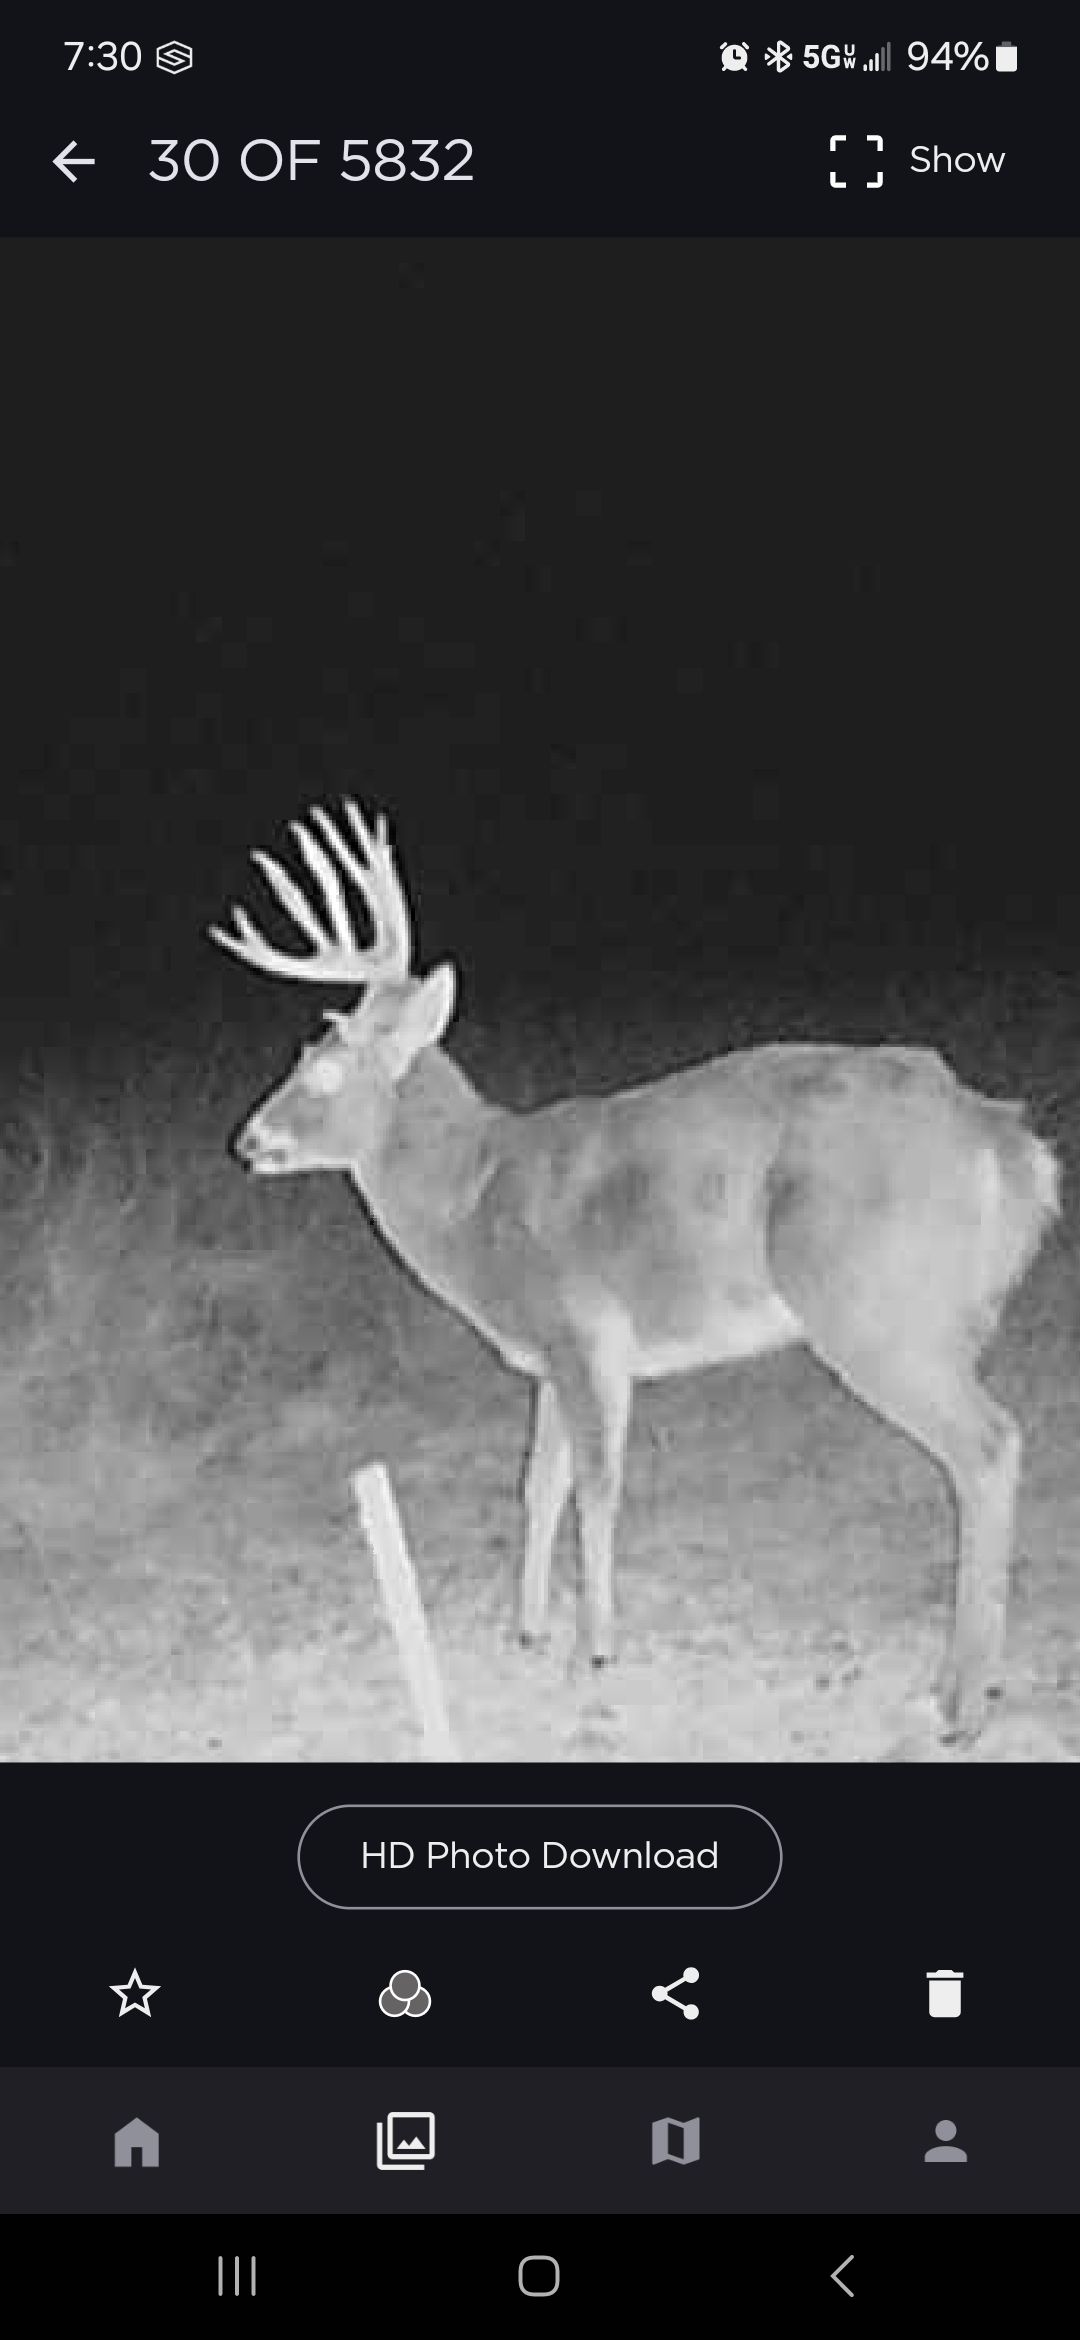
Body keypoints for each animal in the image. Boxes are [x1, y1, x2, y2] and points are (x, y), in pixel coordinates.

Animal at [211, 800, 1059, 1738]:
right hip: (938, 1317)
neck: (475, 1200)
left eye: (324, 1071)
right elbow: (537, 1486)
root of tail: (1009, 1142)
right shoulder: (547, 1357)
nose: (247, 1141)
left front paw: (593, 1650)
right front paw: (526, 1630)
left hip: (872, 1308)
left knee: (988, 1447)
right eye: (297, 1058)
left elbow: (596, 1486)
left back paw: (962, 1705)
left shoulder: (585, 1331)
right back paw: (959, 1686)